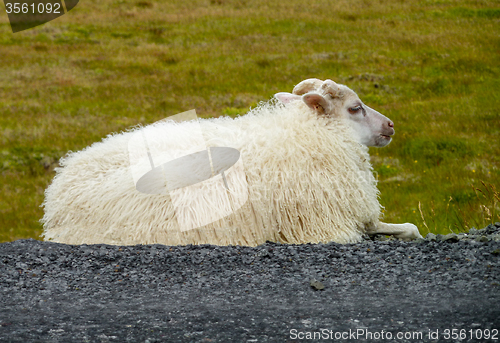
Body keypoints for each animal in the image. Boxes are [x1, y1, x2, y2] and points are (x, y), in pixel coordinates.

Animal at [42, 78, 422, 246]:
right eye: (355, 108)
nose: (390, 126)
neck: (305, 134)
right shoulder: (327, 226)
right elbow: (407, 229)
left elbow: (408, 228)